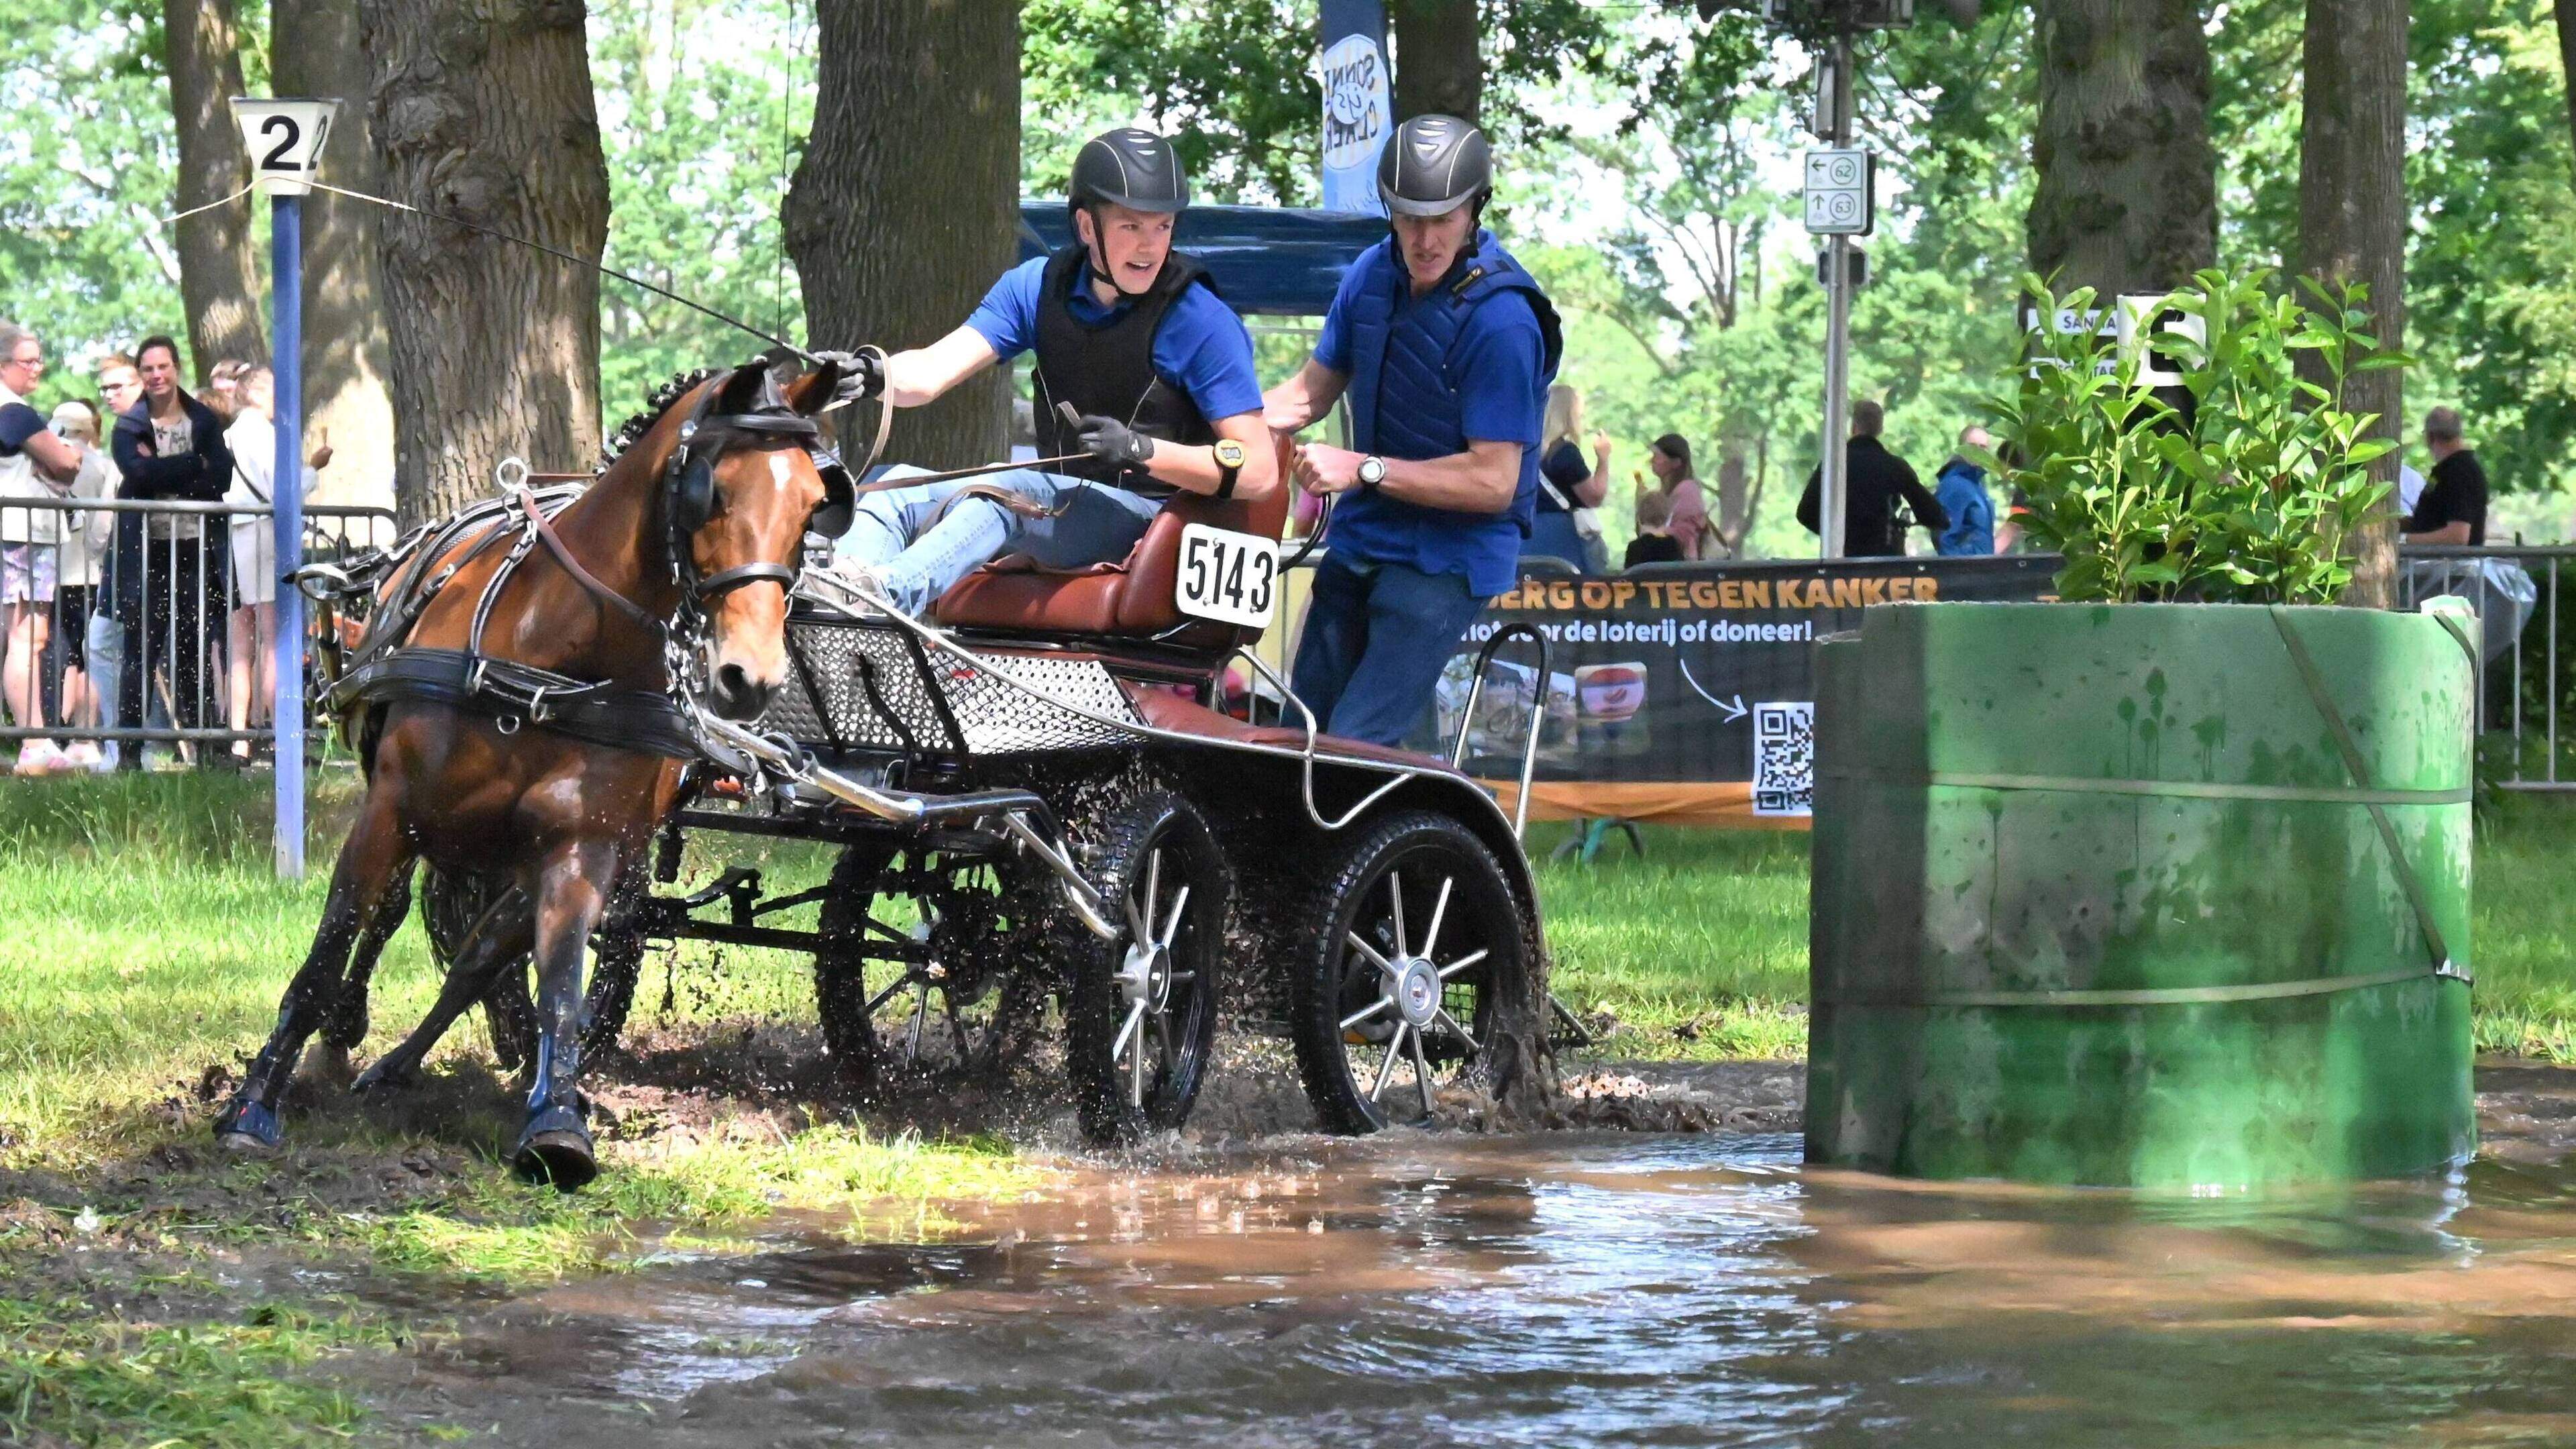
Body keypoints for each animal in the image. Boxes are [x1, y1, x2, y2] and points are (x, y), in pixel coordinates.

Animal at [212, 352, 854, 1189]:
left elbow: (556, 977)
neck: (556, 663)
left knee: (480, 956)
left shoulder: (582, 844)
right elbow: (335, 942)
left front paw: (556, 1116)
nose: (753, 677)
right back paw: (346, 1033)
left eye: (812, 507)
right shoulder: (391, 811)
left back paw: (405, 1065)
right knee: (388, 917)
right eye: (712, 490)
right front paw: (256, 1100)